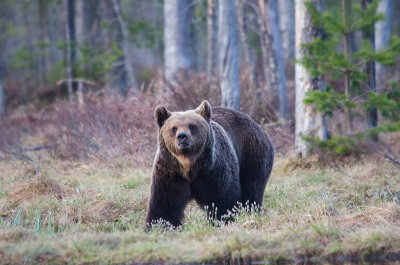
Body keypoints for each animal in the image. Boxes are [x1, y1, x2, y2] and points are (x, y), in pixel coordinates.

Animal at [145, 100, 274, 228]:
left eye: (192, 126)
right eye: (174, 128)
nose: (182, 136)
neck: (189, 166)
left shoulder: (214, 171)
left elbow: (221, 199)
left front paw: (223, 219)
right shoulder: (170, 172)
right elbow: (165, 204)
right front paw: (160, 225)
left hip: (253, 154)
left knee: (252, 188)